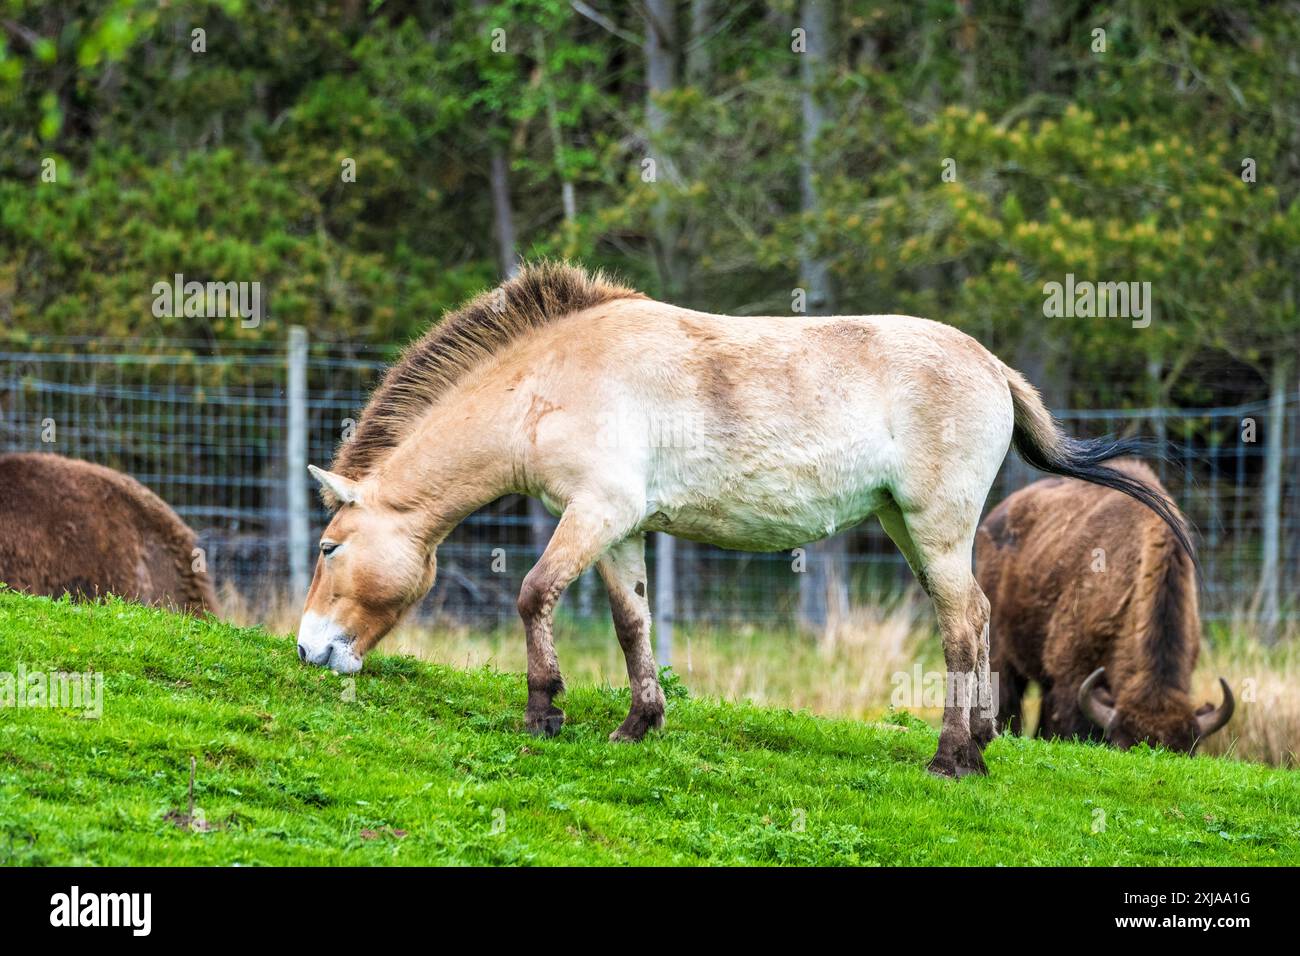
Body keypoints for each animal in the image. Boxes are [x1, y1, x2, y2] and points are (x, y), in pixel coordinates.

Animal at [299, 261, 1190, 780]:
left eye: (330, 546)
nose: (309, 650)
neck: (552, 377)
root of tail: (993, 366)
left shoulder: (594, 513)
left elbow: (533, 594)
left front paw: (544, 714)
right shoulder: (620, 529)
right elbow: (631, 623)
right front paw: (638, 725)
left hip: (935, 528)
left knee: (962, 624)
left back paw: (953, 757)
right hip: (908, 527)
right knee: (977, 612)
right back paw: (980, 740)